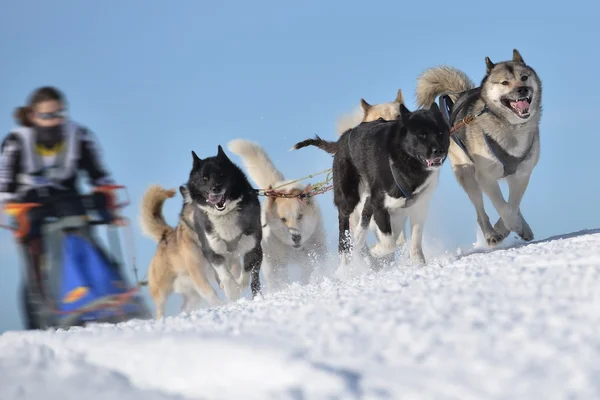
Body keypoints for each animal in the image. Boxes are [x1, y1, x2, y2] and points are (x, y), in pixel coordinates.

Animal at [140, 184, 225, 318]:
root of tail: (166, 235)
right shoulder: (197, 271)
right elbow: (209, 291)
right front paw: (221, 304)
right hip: (161, 292)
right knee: (160, 309)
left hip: (192, 295)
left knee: (185, 307)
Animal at [185, 146, 262, 300]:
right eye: (204, 178)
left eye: (221, 174)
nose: (216, 188)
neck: (224, 214)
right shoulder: (212, 250)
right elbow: (224, 274)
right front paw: (231, 290)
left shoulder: (252, 246)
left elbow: (246, 270)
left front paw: (239, 285)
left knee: (254, 276)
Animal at [296, 103, 450, 266]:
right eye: (421, 135)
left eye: (440, 133)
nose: (438, 151)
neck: (406, 163)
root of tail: (343, 137)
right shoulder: (379, 204)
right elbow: (389, 243)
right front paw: (376, 251)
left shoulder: (419, 206)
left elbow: (414, 238)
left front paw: (419, 263)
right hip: (349, 197)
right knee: (344, 222)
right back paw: (346, 256)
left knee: (365, 218)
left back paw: (358, 239)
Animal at [414, 48, 540, 245]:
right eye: (505, 82)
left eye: (524, 77)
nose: (522, 89)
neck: (511, 127)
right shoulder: (486, 177)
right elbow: (502, 206)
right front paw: (508, 226)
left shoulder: (522, 174)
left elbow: (512, 205)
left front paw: (510, 226)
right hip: (468, 176)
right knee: (480, 212)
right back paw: (490, 234)